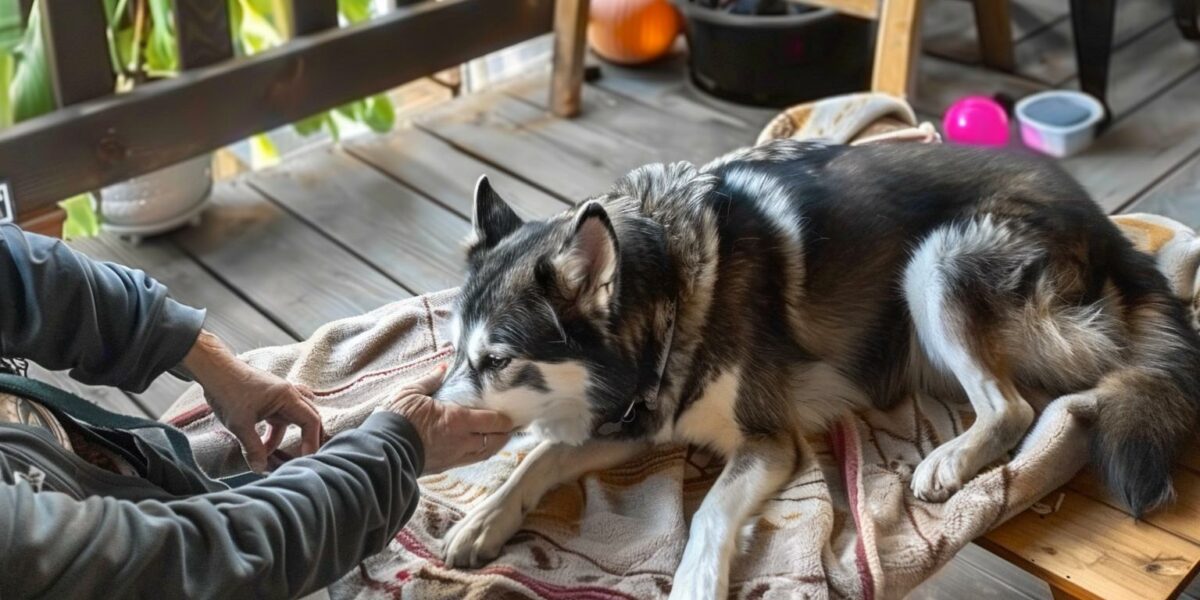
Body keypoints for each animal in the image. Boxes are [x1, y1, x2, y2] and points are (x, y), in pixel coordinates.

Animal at [434, 139, 1200, 595]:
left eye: (498, 360)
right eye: (456, 347)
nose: (431, 420)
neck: (673, 289)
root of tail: (1105, 225)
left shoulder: (769, 441)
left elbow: (709, 512)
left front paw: (696, 581)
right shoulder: (638, 418)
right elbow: (541, 457)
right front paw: (484, 521)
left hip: (934, 264)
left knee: (1015, 405)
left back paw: (948, 461)